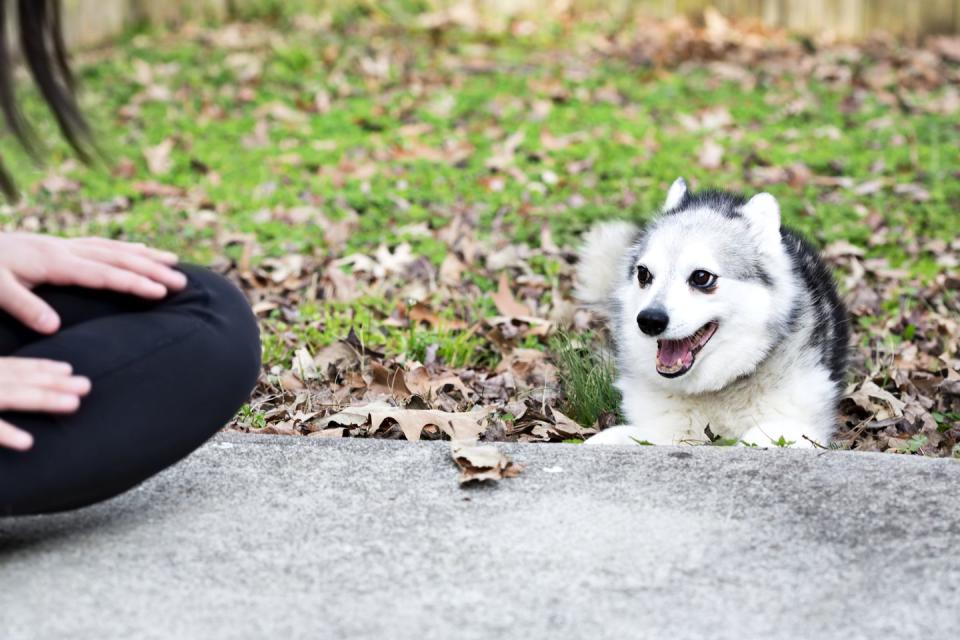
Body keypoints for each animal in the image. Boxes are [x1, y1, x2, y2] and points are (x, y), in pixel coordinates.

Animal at [576, 178, 848, 448]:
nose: (650, 320)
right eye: (643, 274)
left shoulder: (797, 427)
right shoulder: (667, 431)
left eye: (701, 277)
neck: (715, 388)